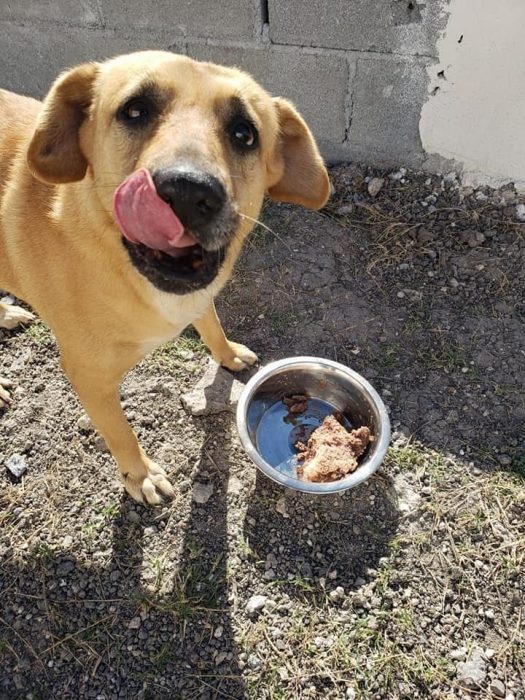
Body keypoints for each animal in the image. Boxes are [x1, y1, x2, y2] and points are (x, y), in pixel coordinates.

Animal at [0, 52, 328, 506]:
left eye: (244, 133)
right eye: (135, 111)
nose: (188, 191)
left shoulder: (199, 295)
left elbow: (211, 323)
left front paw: (227, 354)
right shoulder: (88, 376)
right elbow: (120, 432)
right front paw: (140, 476)